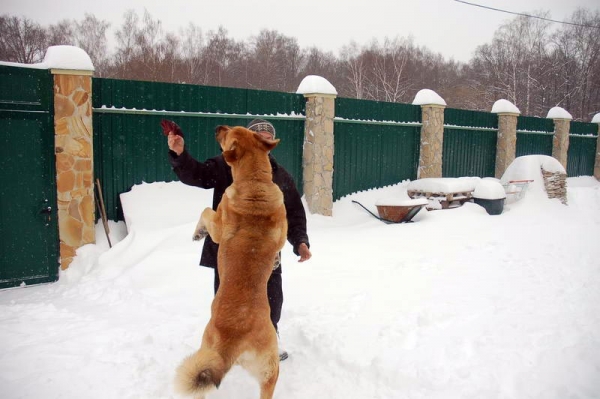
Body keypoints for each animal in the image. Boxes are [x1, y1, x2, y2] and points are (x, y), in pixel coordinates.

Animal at [175, 126, 288, 399]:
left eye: (230, 134)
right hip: (267, 371)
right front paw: (276, 261)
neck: (254, 182)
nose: (219, 127)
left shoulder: (218, 224)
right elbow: (279, 248)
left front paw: (198, 233)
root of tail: (233, 340)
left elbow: (206, 211)